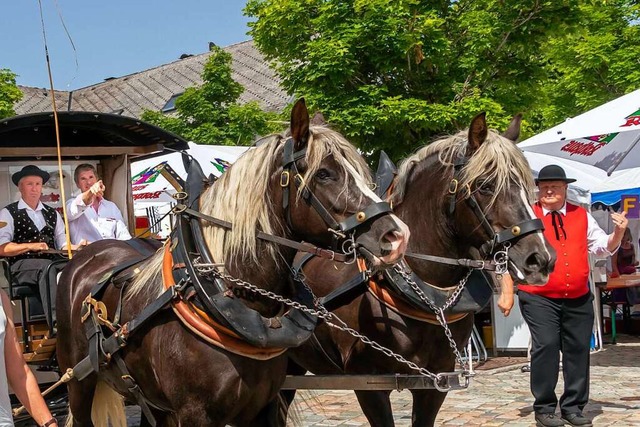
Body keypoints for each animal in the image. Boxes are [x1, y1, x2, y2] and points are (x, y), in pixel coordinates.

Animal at [55, 99, 410, 424]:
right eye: (324, 174)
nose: (396, 236)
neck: (214, 293)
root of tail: (88, 255)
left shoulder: (264, 405)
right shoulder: (194, 413)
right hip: (78, 382)